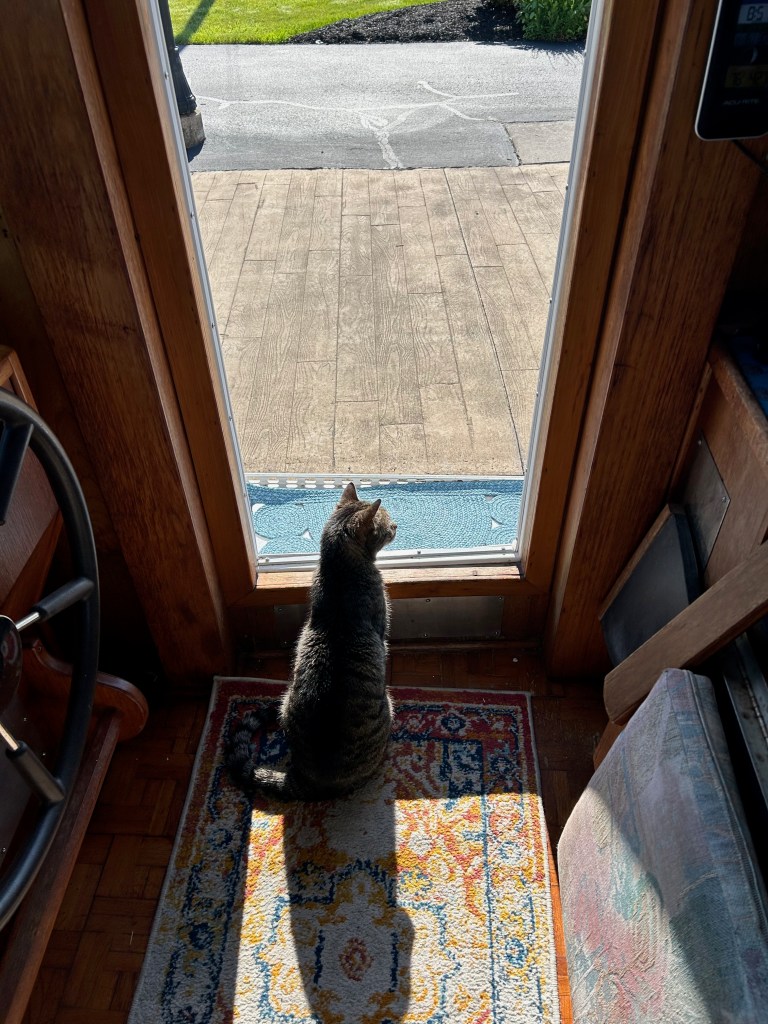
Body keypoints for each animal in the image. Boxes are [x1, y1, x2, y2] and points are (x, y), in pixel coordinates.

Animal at [227, 482, 397, 800]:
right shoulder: (382, 629)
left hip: (286, 701)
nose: (396, 526)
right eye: (386, 523)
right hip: (388, 706)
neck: (340, 572)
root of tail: (307, 779)